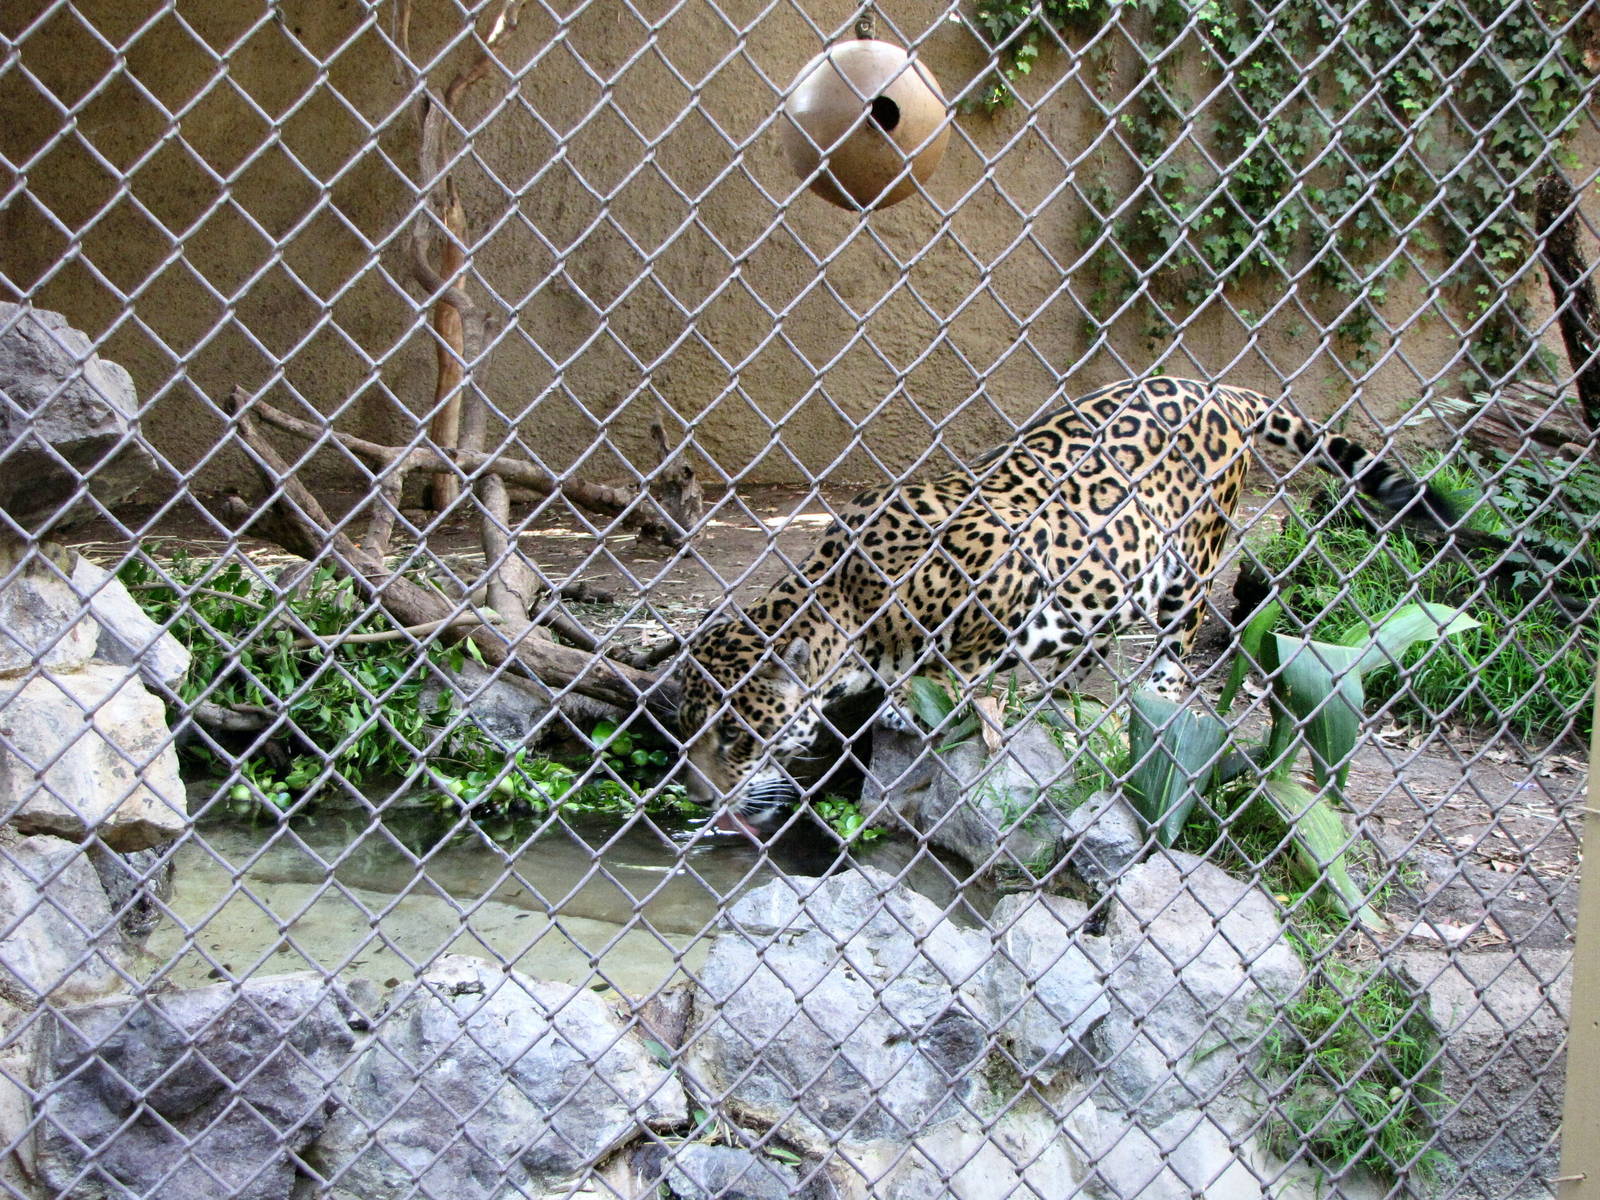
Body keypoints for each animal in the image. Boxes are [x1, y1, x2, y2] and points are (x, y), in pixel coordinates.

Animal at [672, 376, 1457, 832]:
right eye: (688, 729)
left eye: (737, 737)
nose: (702, 799)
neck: (850, 602)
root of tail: (1218, 389)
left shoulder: (1005, 573)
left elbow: (966, 668)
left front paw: (950, 706)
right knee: (1095, 639)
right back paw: (1068, 700)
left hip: (1191, 561)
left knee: (1180, 638)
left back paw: (1154, 696)